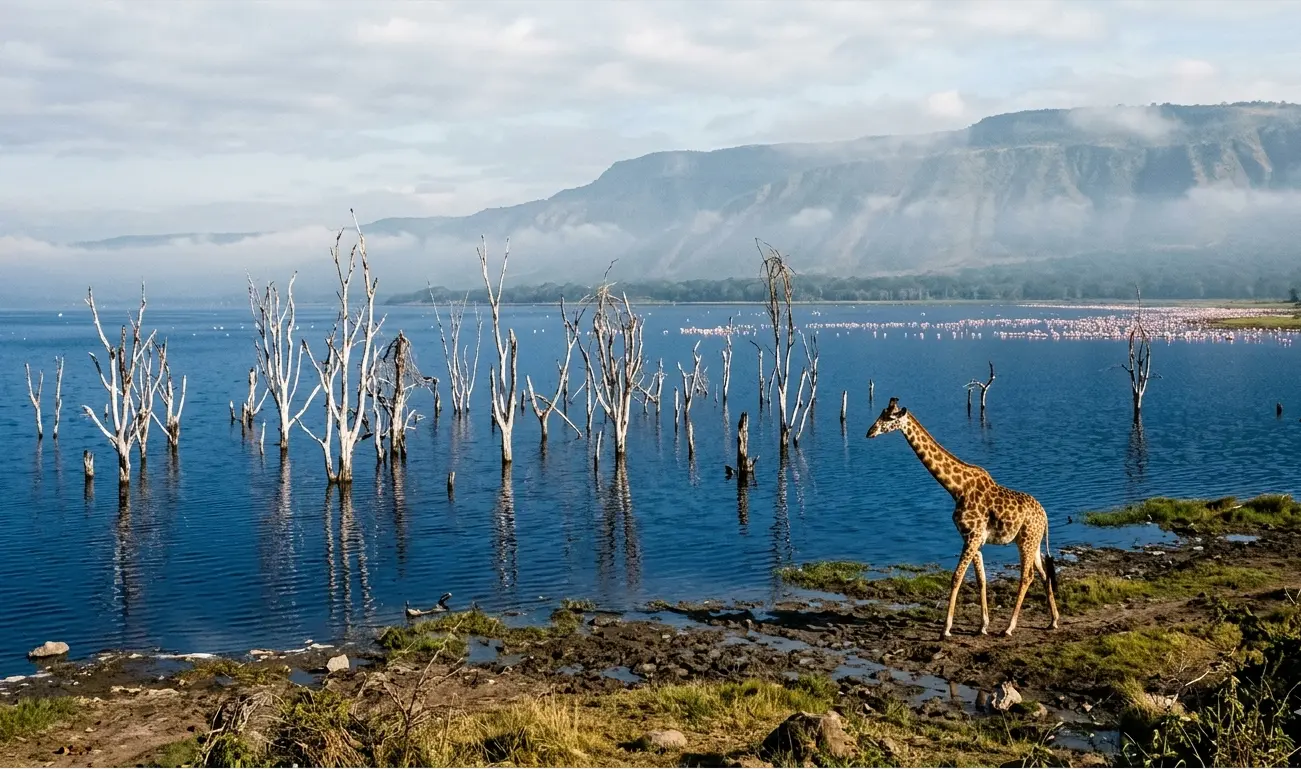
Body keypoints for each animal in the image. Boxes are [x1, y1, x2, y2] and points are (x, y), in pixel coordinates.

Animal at [866, 397, 1059, 637]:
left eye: (889, 418)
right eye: (881, 414)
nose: (870, 432)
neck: (956, 488)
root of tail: (1045, 516)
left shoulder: (972, 536)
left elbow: (956, 577)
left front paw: (946, 629)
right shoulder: (972, 538)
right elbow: (981, 580)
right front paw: (982, 625)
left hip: (1026, 541)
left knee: (1027, 576)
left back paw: (1009, 627)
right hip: (1032, 541)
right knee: (1043, 573)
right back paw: (1053, 620)